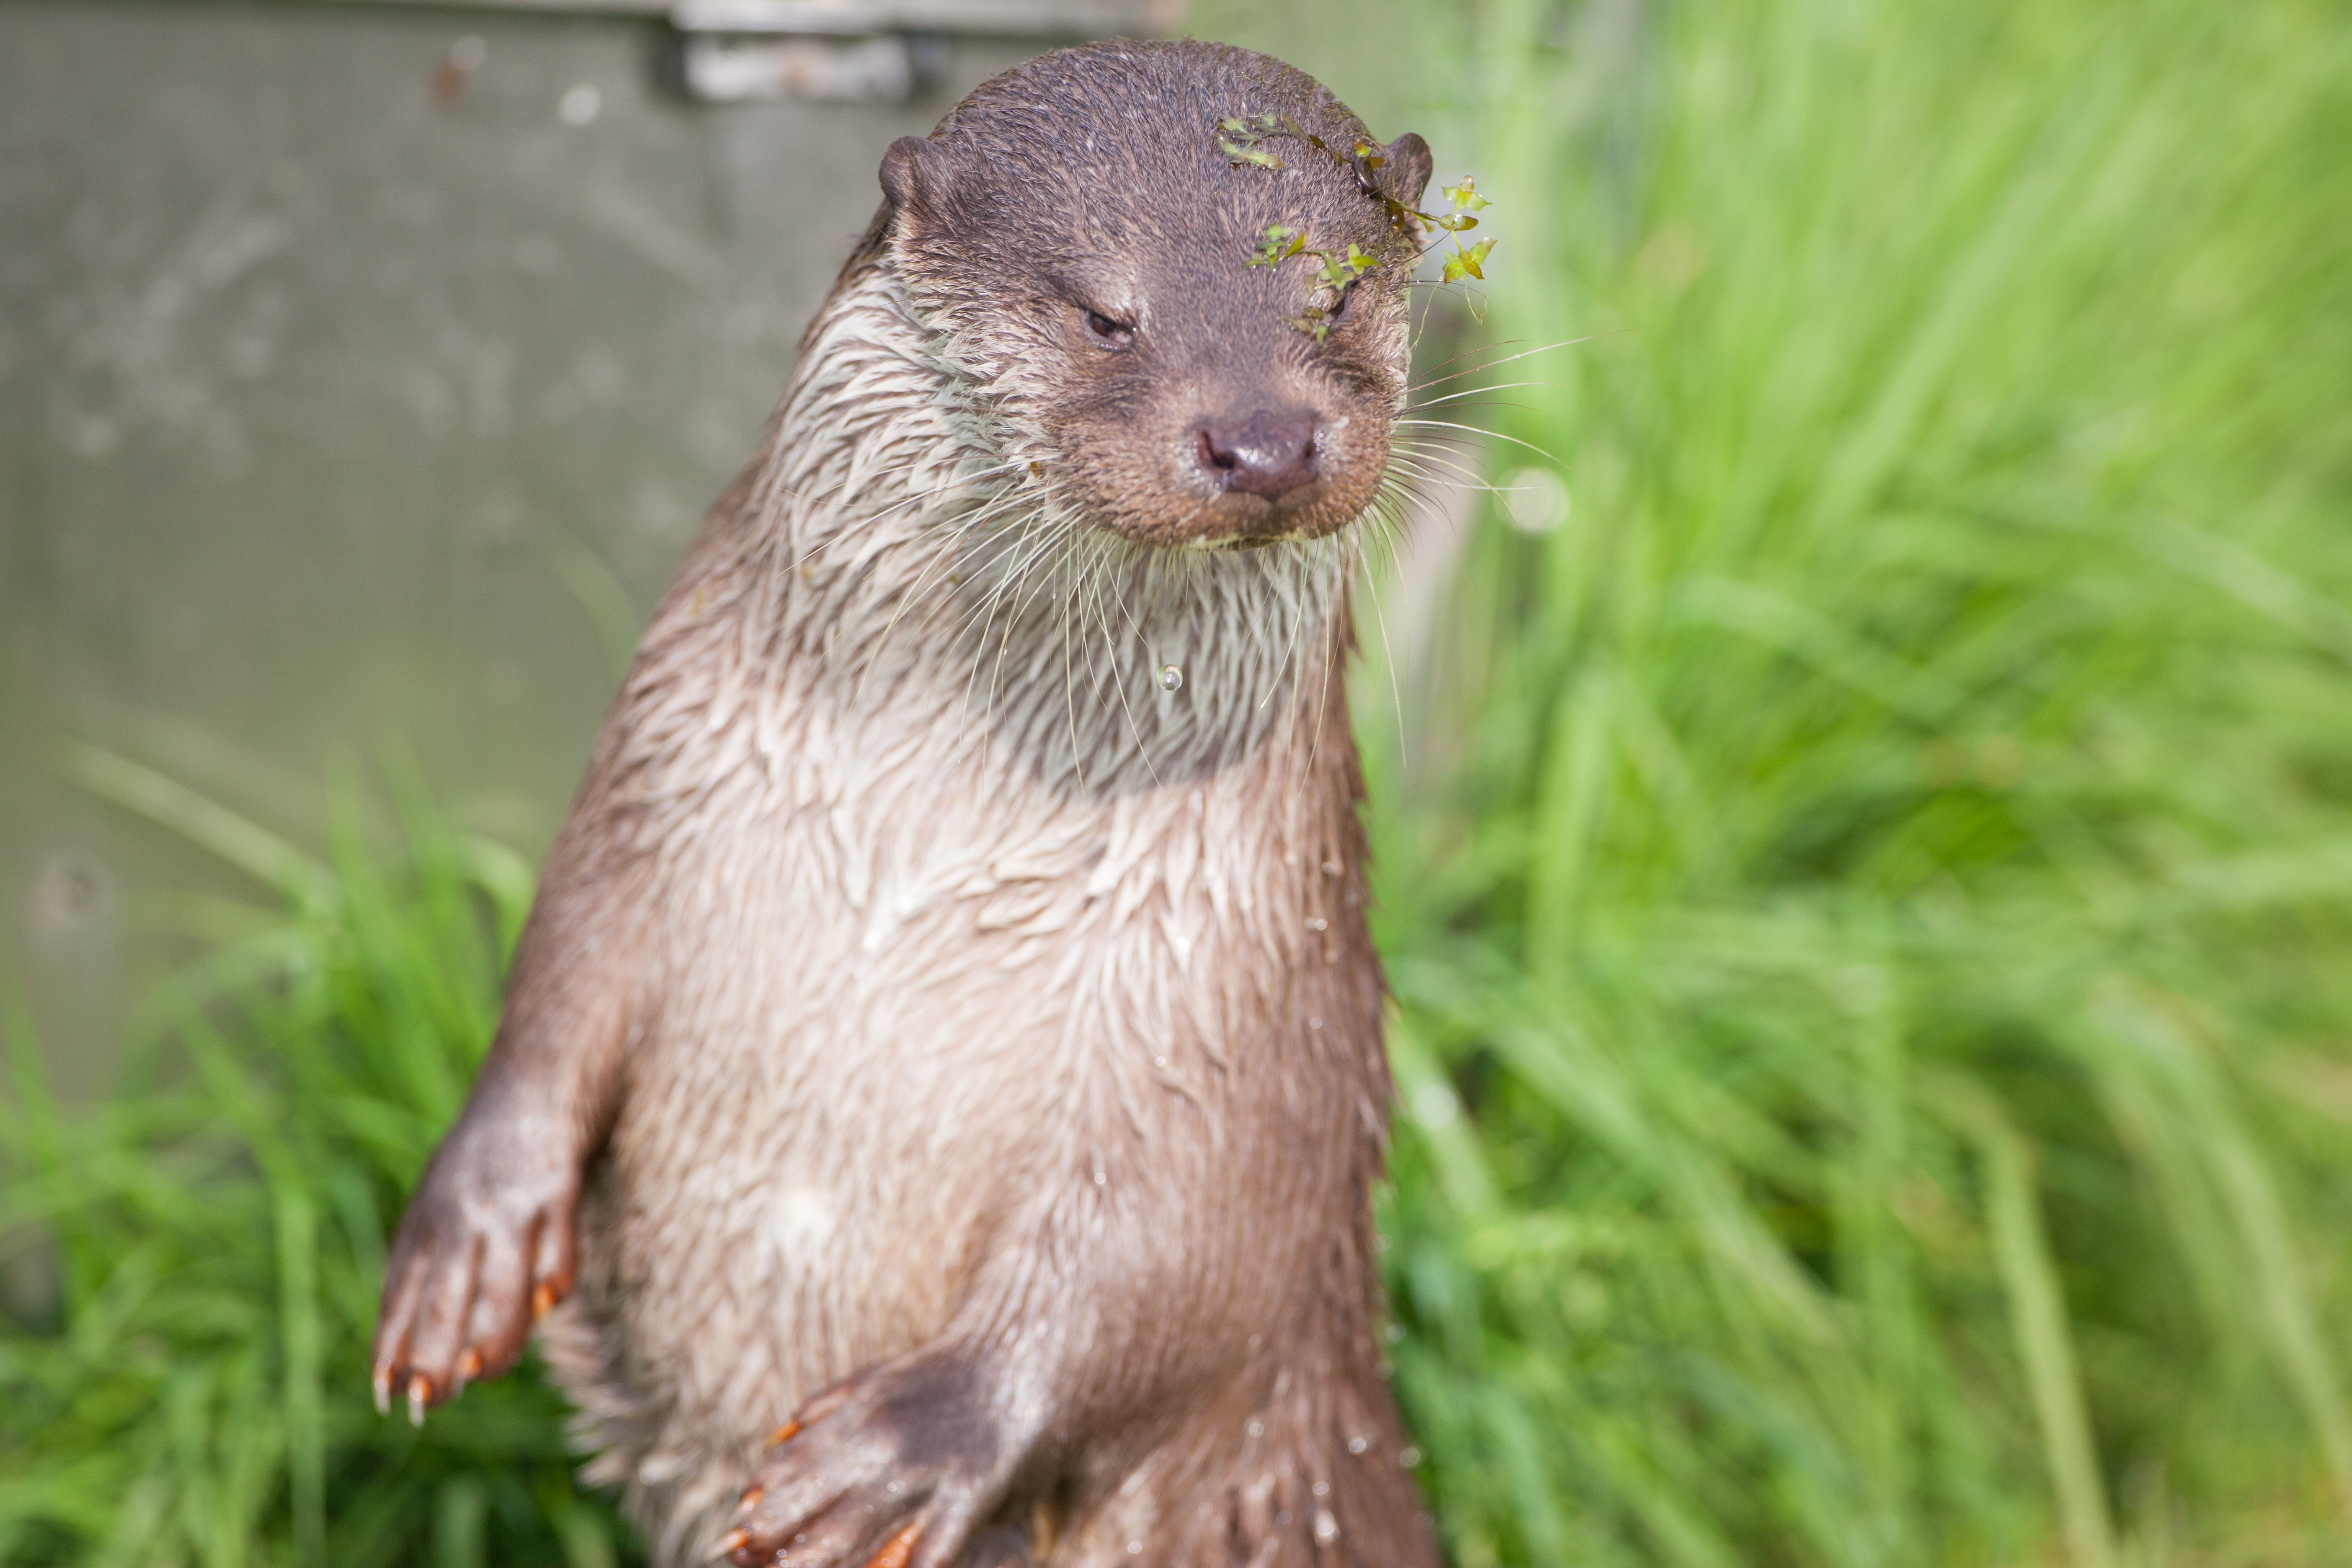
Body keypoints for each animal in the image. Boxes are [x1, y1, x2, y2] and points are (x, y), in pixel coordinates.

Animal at [370, 40, 1446, 1568]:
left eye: (1341, 293)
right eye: (1105, 315)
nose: (1263, 437)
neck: (924, 856)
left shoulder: (1240, 1012)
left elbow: (1177, 1262)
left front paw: (897, 1452)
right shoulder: (656, 778)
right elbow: (556, 983)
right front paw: (467, 1248)